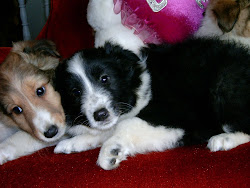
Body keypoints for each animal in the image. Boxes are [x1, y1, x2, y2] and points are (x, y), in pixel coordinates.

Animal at [54, 37, 250, 170]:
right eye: (76, 92)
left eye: (105, 78)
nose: (100, 115)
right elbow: (104, 131)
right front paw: (71, 143)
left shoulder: (172, 116)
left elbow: (126, 125)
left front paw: (110, 150)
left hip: (225, 83)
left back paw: (224, 139)